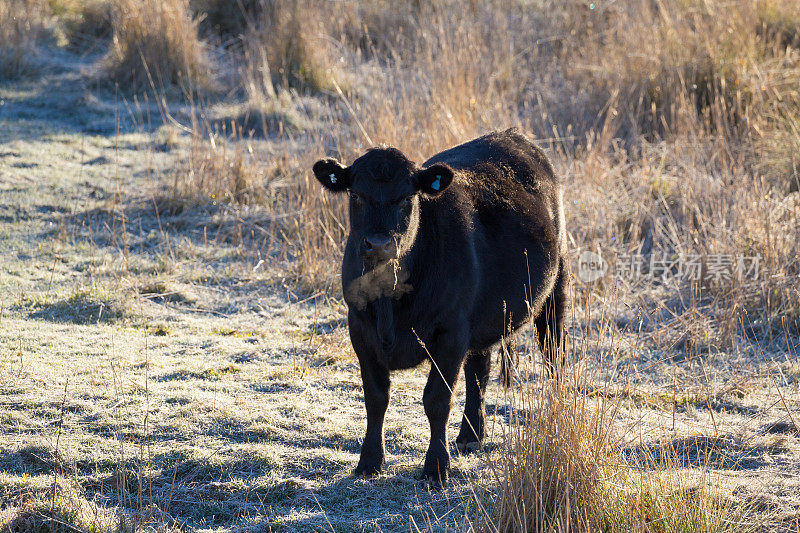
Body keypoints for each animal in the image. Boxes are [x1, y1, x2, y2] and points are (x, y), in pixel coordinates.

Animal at [312, 129, 568, 486]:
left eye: (408, 198)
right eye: (357, 195)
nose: (378, 244)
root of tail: (512, 136)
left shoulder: (450, 333)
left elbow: (437, 400)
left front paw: (435, 468)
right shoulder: (360, 330)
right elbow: (376, 398)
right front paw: (369, 462)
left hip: (556, 286)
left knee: (552, 350)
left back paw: (554, 412)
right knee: (479, 371)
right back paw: (470, 436)